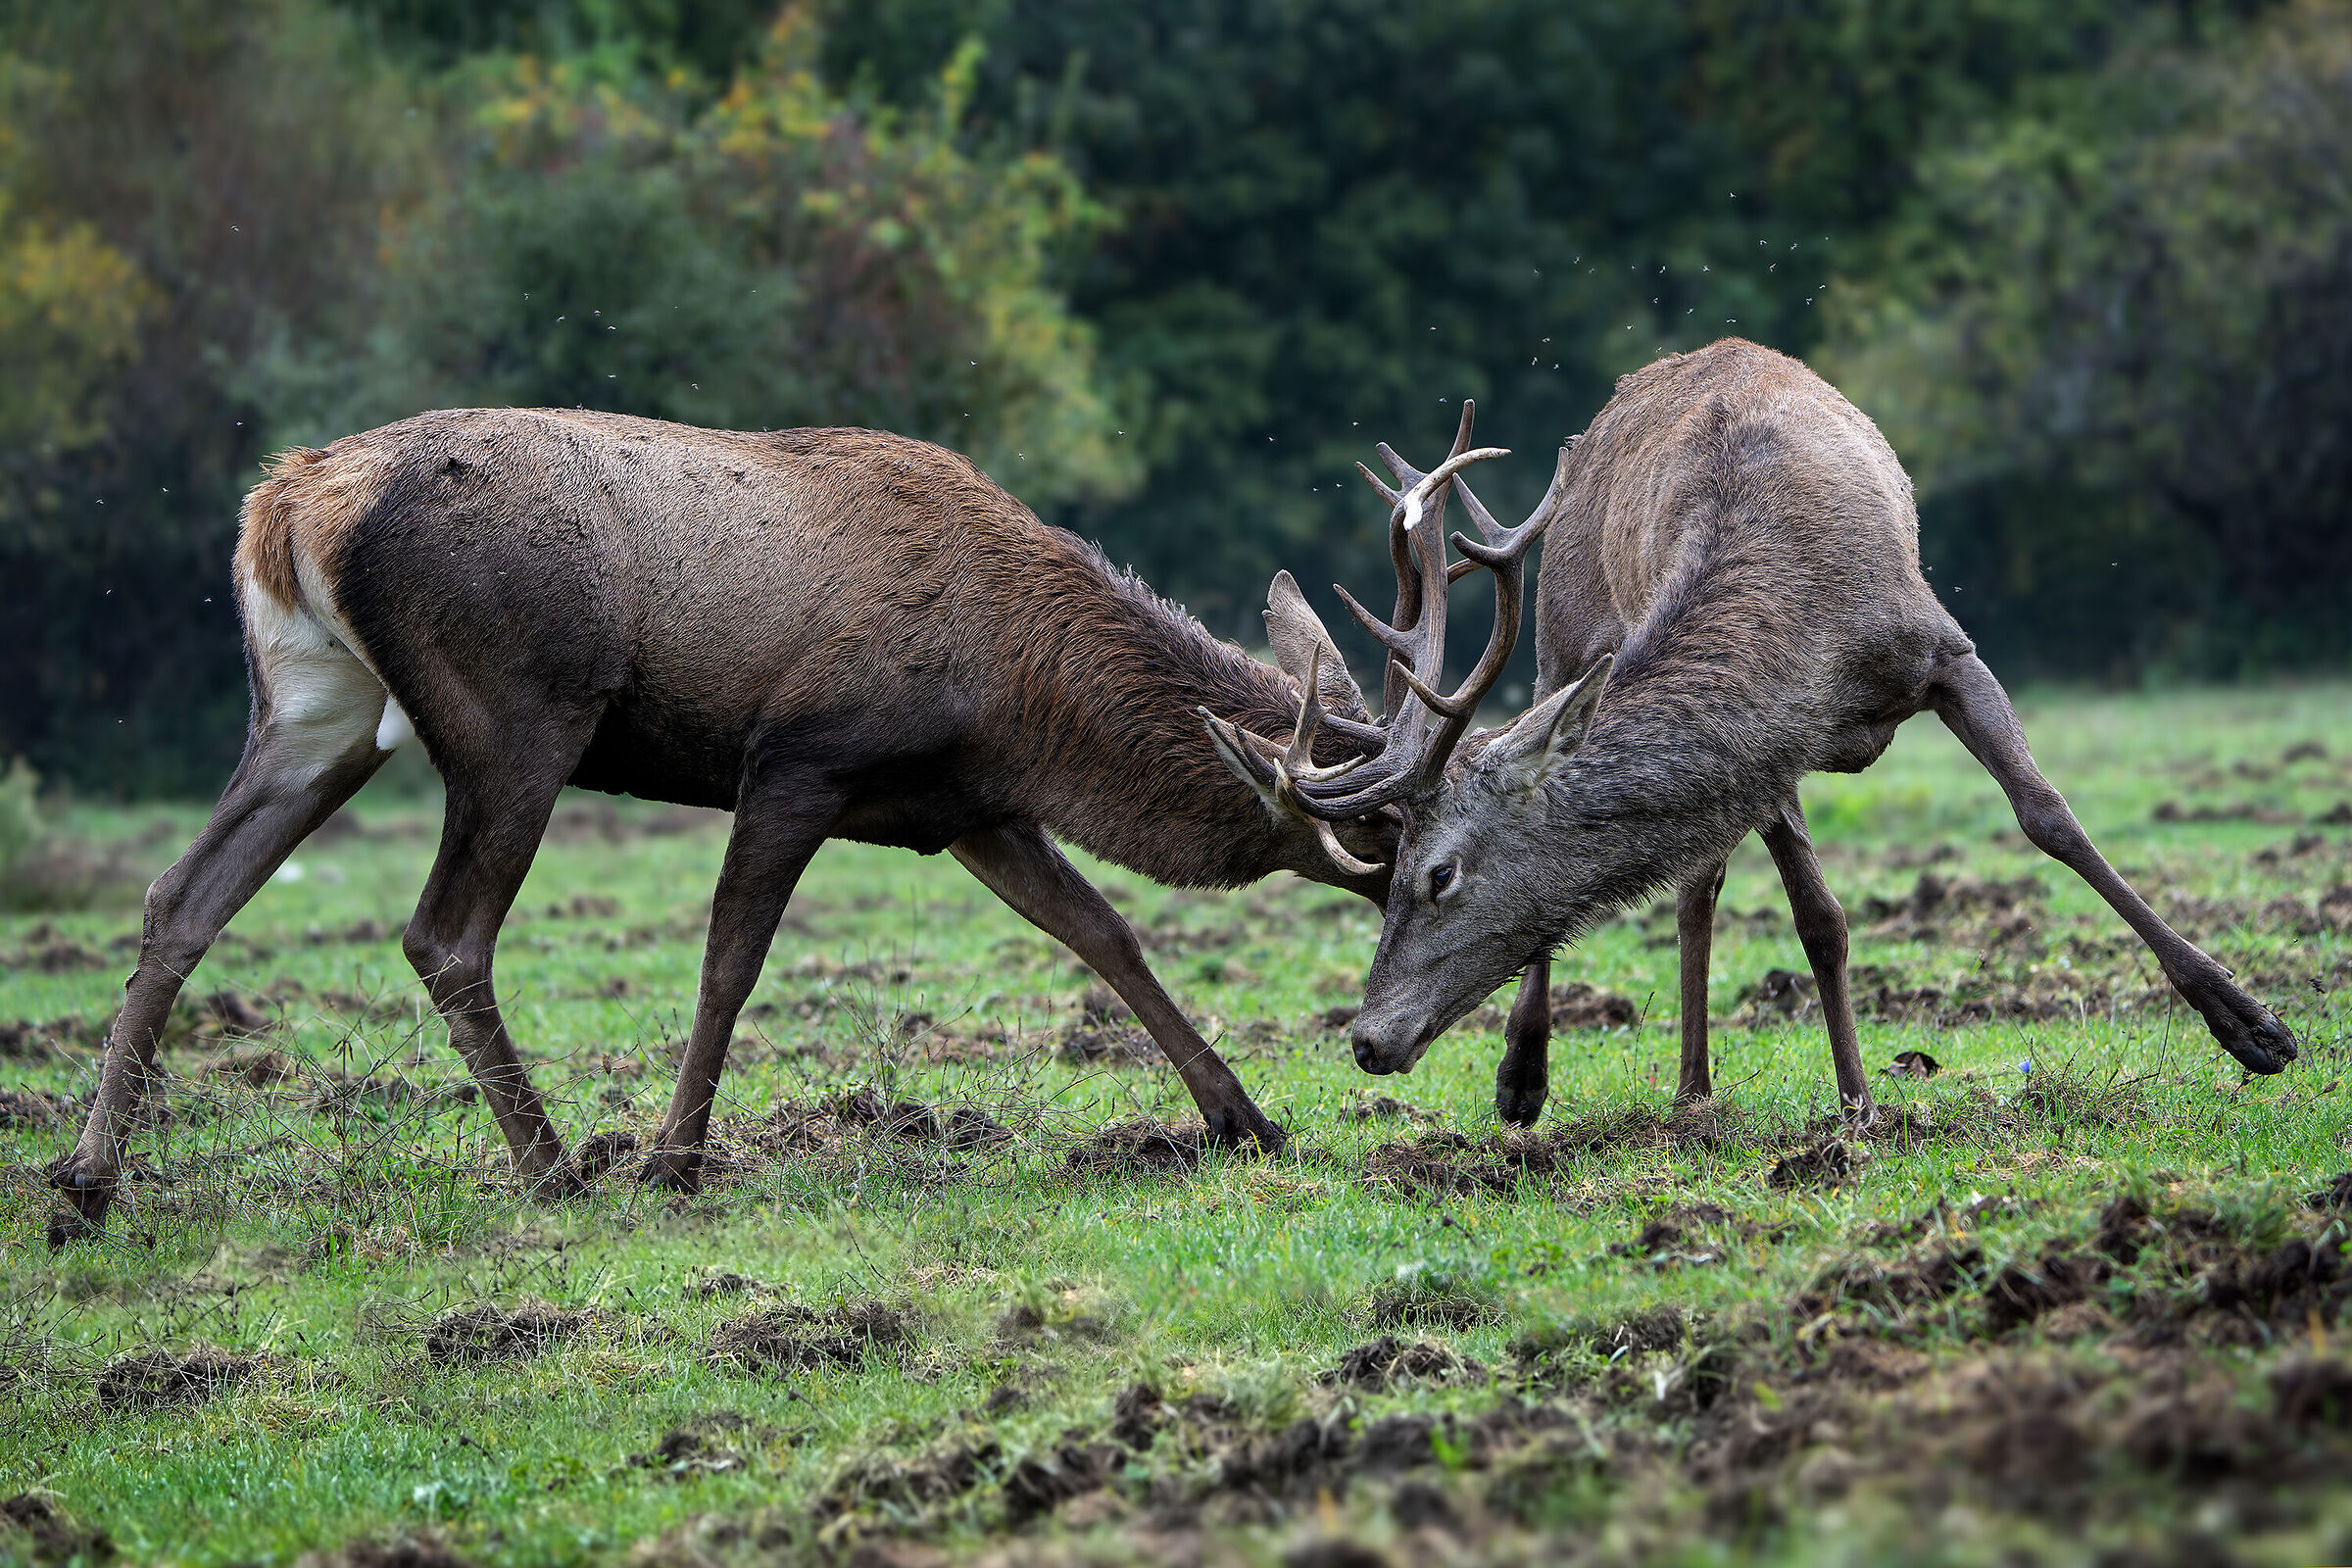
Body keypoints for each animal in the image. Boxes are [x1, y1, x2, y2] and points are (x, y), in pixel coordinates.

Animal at [45, 406, 1521, 1240]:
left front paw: (1244, 1118)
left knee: (181, 896)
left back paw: (86, 1183)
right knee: (442, 932)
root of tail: (288, 502)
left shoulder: (966, 807)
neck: (1018, 692)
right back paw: (557, 1169)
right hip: (518, 711)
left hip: (315, 709)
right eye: (1400, 839)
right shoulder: (802, 758)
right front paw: (676, 1161)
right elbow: (731, 958)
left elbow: (1105, 935)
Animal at [1210, 339, 2297, 1126]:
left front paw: (2252, 1024)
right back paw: (1554, 1078)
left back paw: (1688, 1082)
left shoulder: (1942, 647)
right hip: (1561, 642)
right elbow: (1817, 913)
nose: (1365, 1038)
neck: (1802, 623)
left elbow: (2048, 818)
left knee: (1697, 888)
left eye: (1436, 875)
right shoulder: (1774, 747)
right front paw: (1860, 1098)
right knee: (1692, 889)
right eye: (1390, 871)